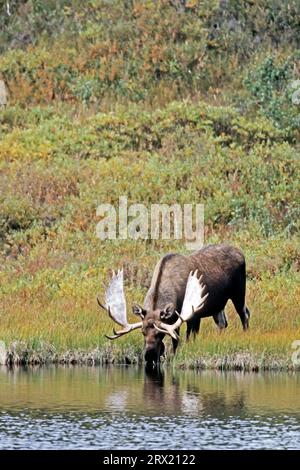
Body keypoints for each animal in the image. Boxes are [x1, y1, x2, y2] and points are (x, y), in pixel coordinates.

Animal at [97, 244, 250, 366]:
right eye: (142, 332)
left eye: (160, 333)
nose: (149, 356)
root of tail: (241, 252)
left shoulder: (191, 315)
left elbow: (185, 339)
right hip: (218, 306)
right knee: (223, 323)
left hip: (238, 292)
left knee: (244, 314)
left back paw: (245, 334)